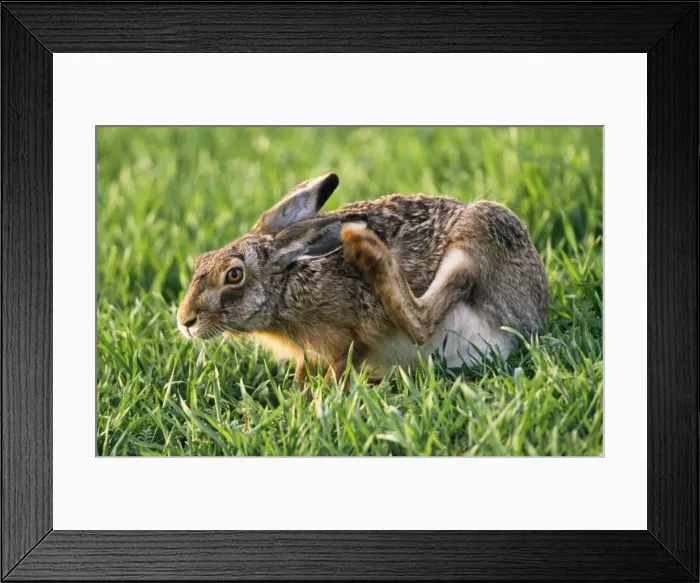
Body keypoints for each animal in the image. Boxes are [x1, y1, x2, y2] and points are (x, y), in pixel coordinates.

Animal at [177, 172, 549, 393]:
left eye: (234, 275)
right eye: (201, 261)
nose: (185, 322)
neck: (285, 285)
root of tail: (533, 321)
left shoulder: (352, 335)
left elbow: (343, 361)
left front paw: (316, 402)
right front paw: (298, 396)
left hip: (480, 231)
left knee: (421, 323)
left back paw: (367, 249)